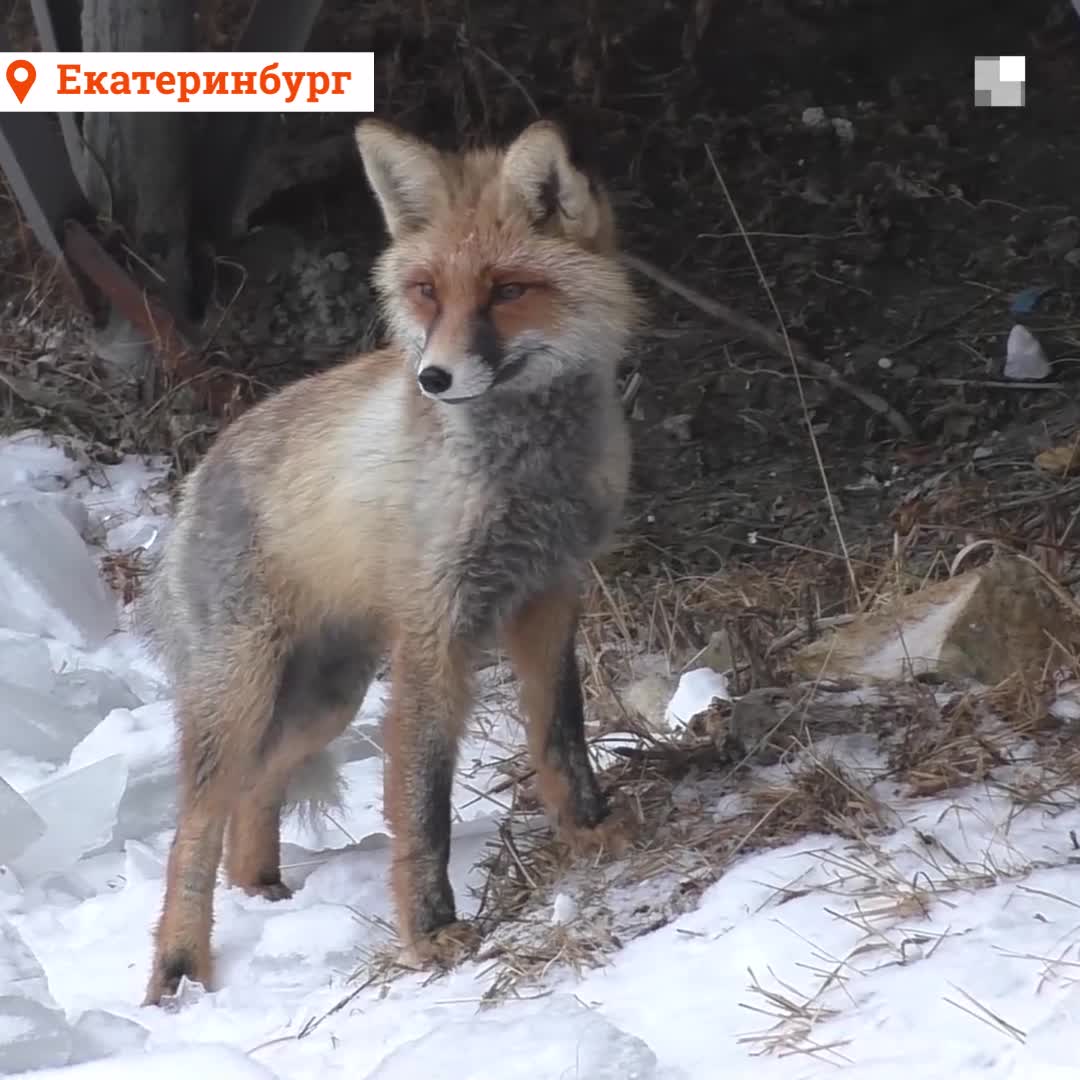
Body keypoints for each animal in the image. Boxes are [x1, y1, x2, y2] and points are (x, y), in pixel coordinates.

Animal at [135, 116, 639, 1002]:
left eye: (507, 291)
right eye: (428, 291)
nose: (433, 377)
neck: (528, 473)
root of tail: (198, 474)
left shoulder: (549, 594)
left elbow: (561, 736)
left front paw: (589, 834)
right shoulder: (437, 629)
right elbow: (422, 801)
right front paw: (430, 931)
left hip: (326, 697)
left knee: (254, 795)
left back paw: (262, 891)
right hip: (246, 693)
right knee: (191, 830)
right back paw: (180, 968)